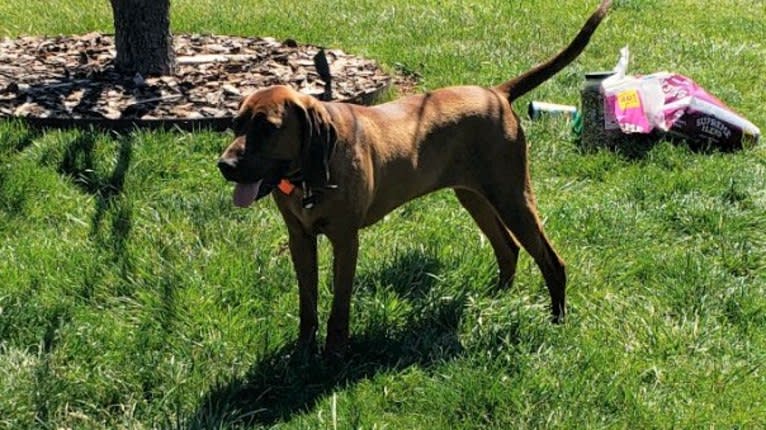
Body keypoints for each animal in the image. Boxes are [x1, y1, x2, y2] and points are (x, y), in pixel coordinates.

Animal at [219, 0, 616, 356]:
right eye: (236, 124)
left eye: (268, 128)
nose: (224, 165)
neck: (310, 174)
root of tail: (496, 93)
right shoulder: (299, 237)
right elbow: (307, 301)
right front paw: (303, 350)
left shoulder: (345, 239)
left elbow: (340, 305)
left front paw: (334, 353)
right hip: (474, 196)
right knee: (508, 248)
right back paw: (496, 298)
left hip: (511, 196)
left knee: (551, 260)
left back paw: (556, 319)